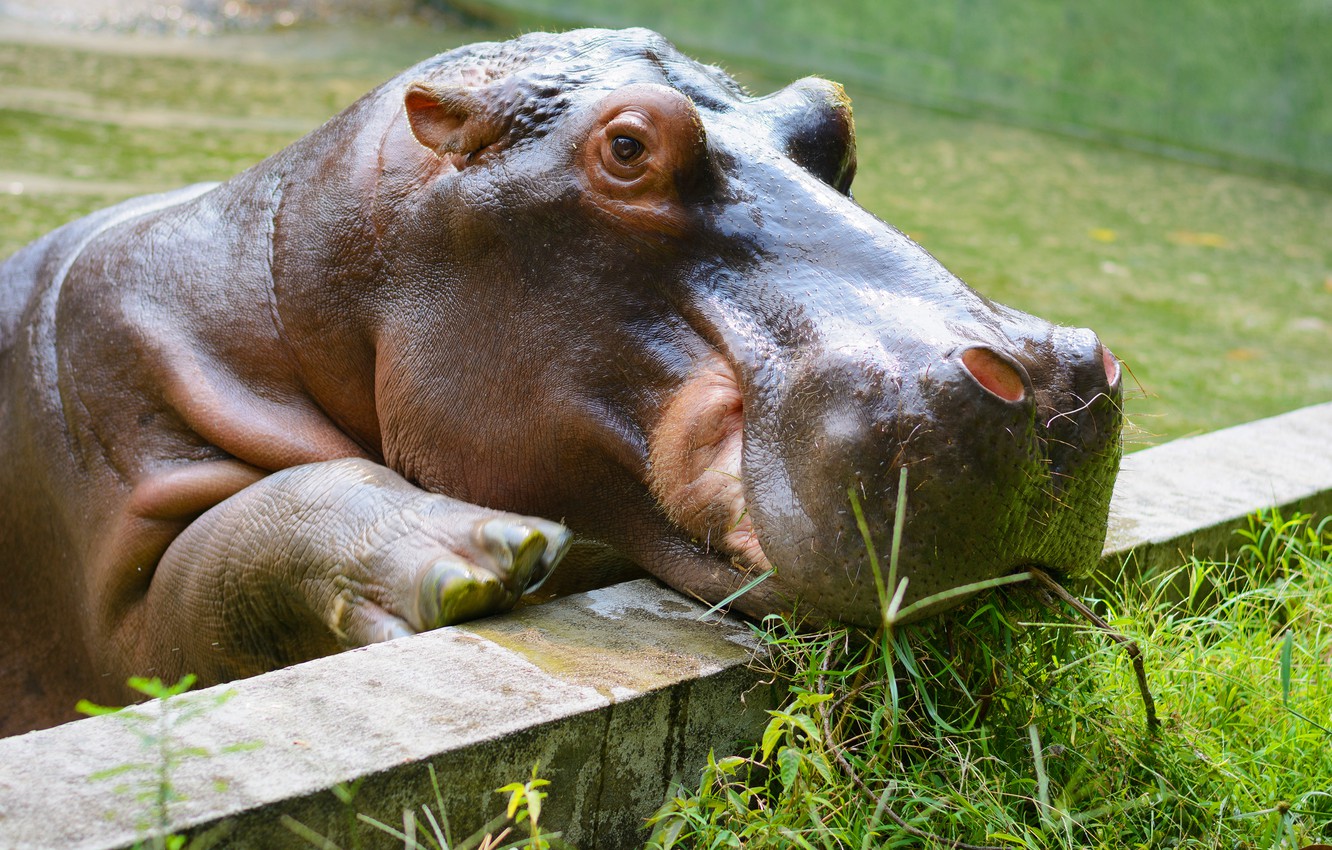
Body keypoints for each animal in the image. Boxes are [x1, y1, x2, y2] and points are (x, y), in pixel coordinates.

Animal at [0, 28, 1121, 736]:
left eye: (830, 118)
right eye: (627, 146)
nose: (1047, 380)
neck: (291, 281)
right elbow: (218, 563)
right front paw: (477, 556)